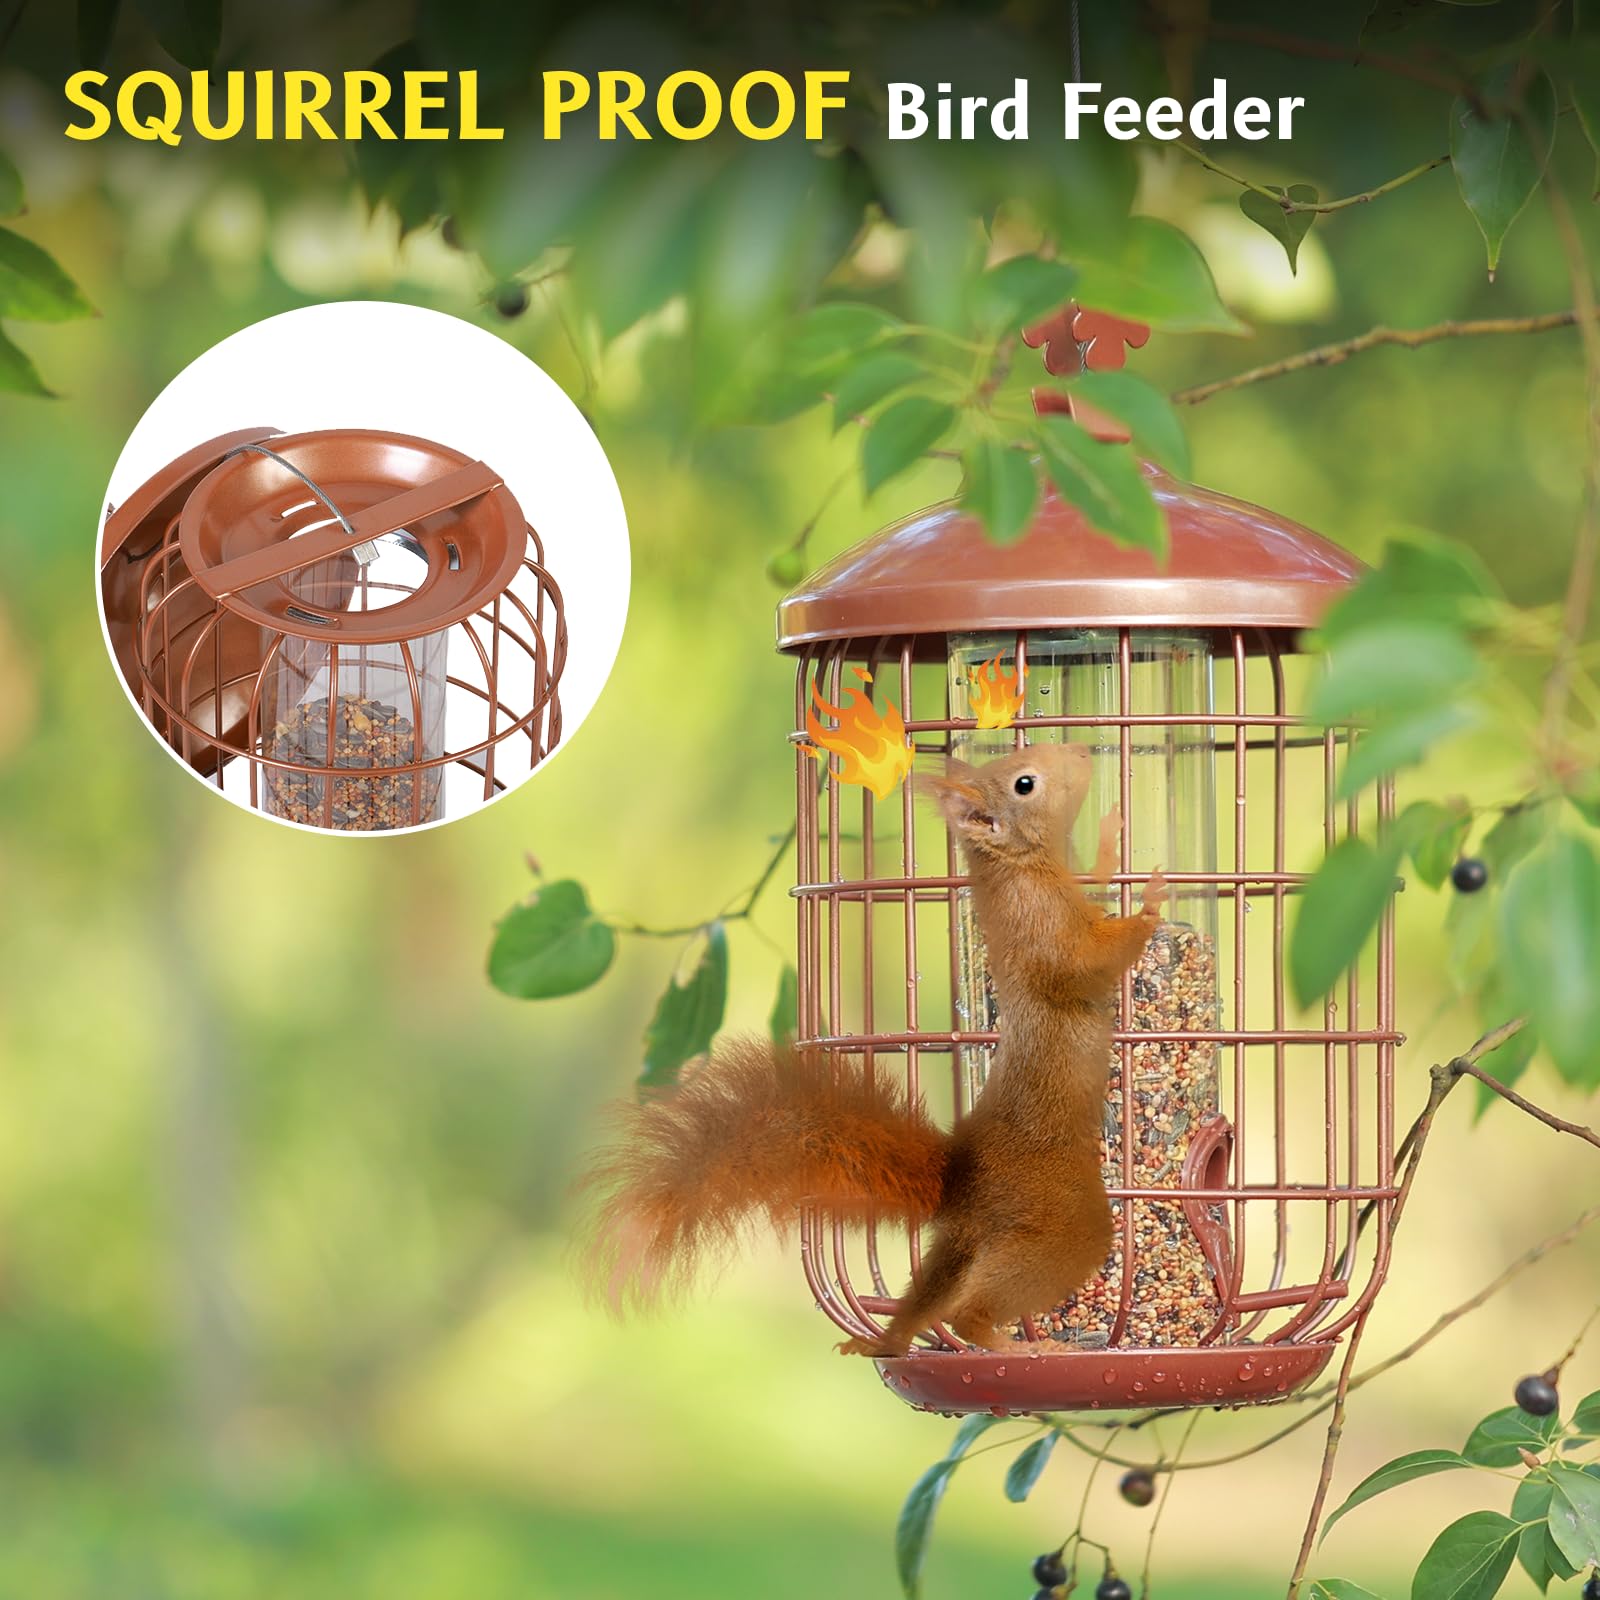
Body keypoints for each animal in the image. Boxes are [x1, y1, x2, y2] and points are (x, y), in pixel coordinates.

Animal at [582, 742, 1168, 1356]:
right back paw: (1016, 1343)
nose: (1079, 749)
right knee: (970, 1311)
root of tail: (959, 1182)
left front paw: (1112, 835)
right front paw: (1150, 905)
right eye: (1024, 782)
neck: (1024, 865)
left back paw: (883, 1342)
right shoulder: (1042, 931)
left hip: (962, 1244)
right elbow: (1085, 966)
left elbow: (1096, 879)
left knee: (930, 1297)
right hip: (1060, 1224)